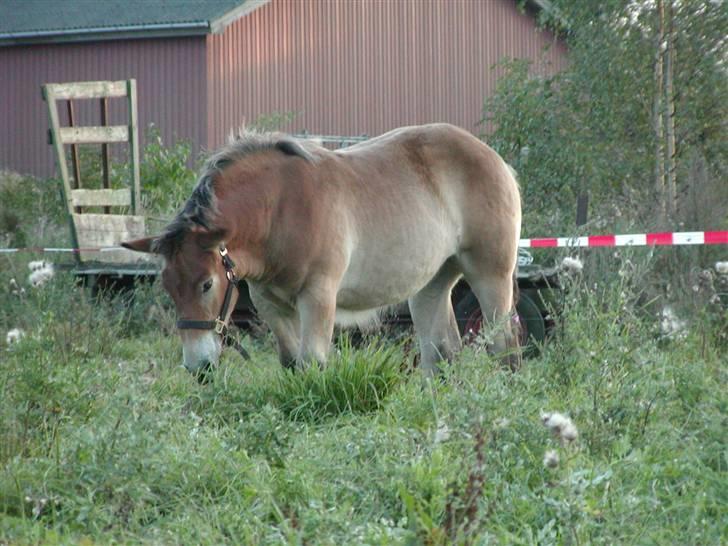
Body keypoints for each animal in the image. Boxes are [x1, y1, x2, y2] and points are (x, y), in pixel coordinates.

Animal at [125, 123, 524, 378]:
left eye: (207, 284)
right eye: (169, 287)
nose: (198, 366)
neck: (280, 208)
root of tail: (496, 160)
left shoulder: (318, 296)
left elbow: (313, 362)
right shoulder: (270, 302)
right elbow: (290, 363)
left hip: (490, 276)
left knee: (504, 345)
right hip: (432, 284)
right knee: (440, 353)